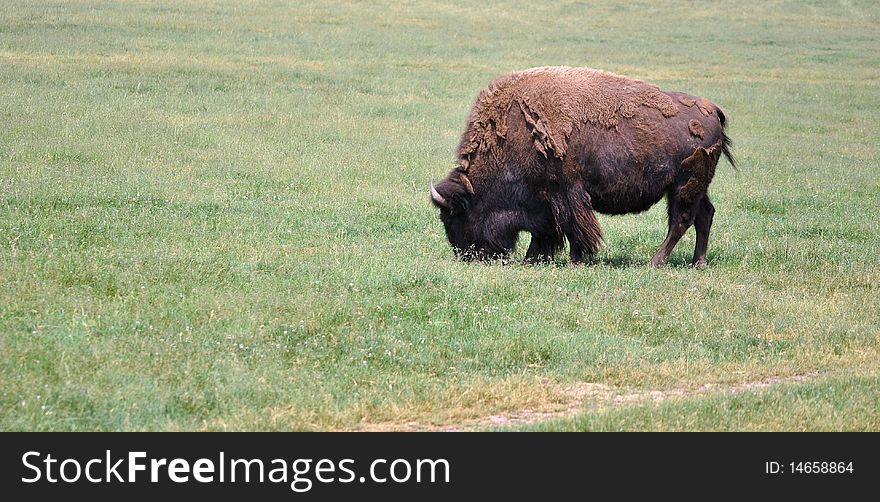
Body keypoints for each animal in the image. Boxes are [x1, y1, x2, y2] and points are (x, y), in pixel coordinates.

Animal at [430, 66, 732, 266]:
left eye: (452, 216)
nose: (466, 256)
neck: (513, 132)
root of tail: (713, 109)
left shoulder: (566, 194)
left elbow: (573, 228)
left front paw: (574, 259)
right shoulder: (546, 203)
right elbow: (548, 232)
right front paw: (534, 259)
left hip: (683, 186)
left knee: (681, 221)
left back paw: (655, 262)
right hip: (693, 187)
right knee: (704, 215)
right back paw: (697, 262)